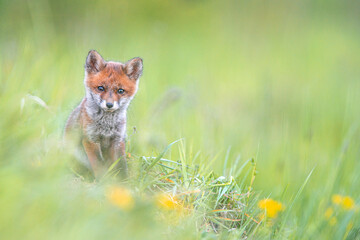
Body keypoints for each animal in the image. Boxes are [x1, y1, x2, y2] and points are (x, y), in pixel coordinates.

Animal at [65, 50, 143, 178]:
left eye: (120, 91)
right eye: (100, 88)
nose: (109, 105)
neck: (107, 125)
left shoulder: (118, 139)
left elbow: (121, 165)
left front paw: (124, 180)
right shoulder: (91, 139)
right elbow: (98, 164)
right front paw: (103, 180)